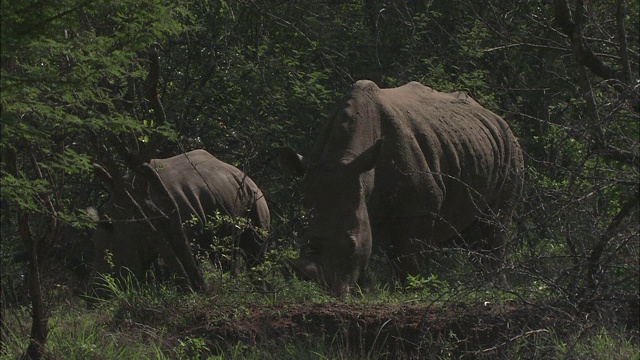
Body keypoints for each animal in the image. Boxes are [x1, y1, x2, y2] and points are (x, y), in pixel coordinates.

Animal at [90, 148, 270, 290]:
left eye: (113, 271)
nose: (96, 294)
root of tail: (244, 175)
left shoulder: (184, 229)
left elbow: (181, 259)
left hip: (255, 195)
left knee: (255, 245)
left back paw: (261, 288)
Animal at [278, 80, 524, 294]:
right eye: (307, 242)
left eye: (351, 244)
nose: (329, 292)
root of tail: (496, 117)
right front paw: (365, 291)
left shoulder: (419, 208)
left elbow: (408, 256)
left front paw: (411, 290)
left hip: (512, 149)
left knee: (495, 225)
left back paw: (494, 289)